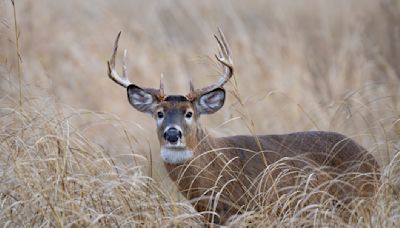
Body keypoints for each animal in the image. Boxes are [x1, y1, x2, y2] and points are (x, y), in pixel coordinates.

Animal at [107, 29, 382, 224]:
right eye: (159, 113)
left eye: (189, 113)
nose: (172, 134)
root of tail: (375, 164)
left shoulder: (254, 209)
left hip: (355, 204)